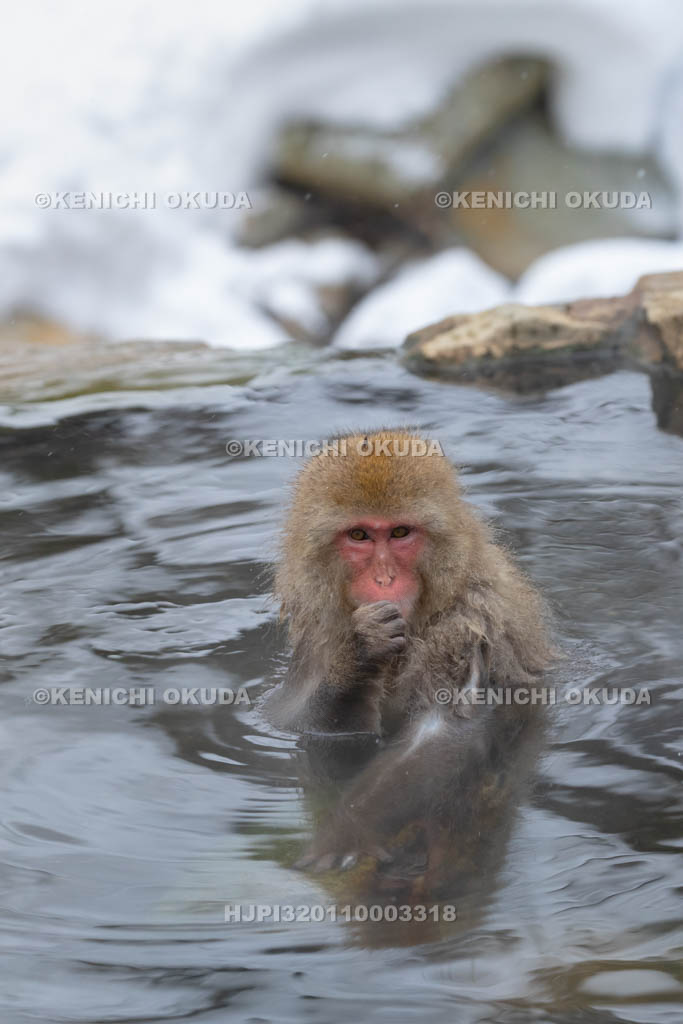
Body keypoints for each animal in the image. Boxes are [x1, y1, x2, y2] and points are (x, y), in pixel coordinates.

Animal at [264, 430, 552, 880]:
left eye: (400, 533)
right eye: (360, 536)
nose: (385, 579)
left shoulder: (470, 622)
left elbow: (443, 735)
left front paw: (348, 829)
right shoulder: (317, 635)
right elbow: (292, 719)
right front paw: (358, 656)